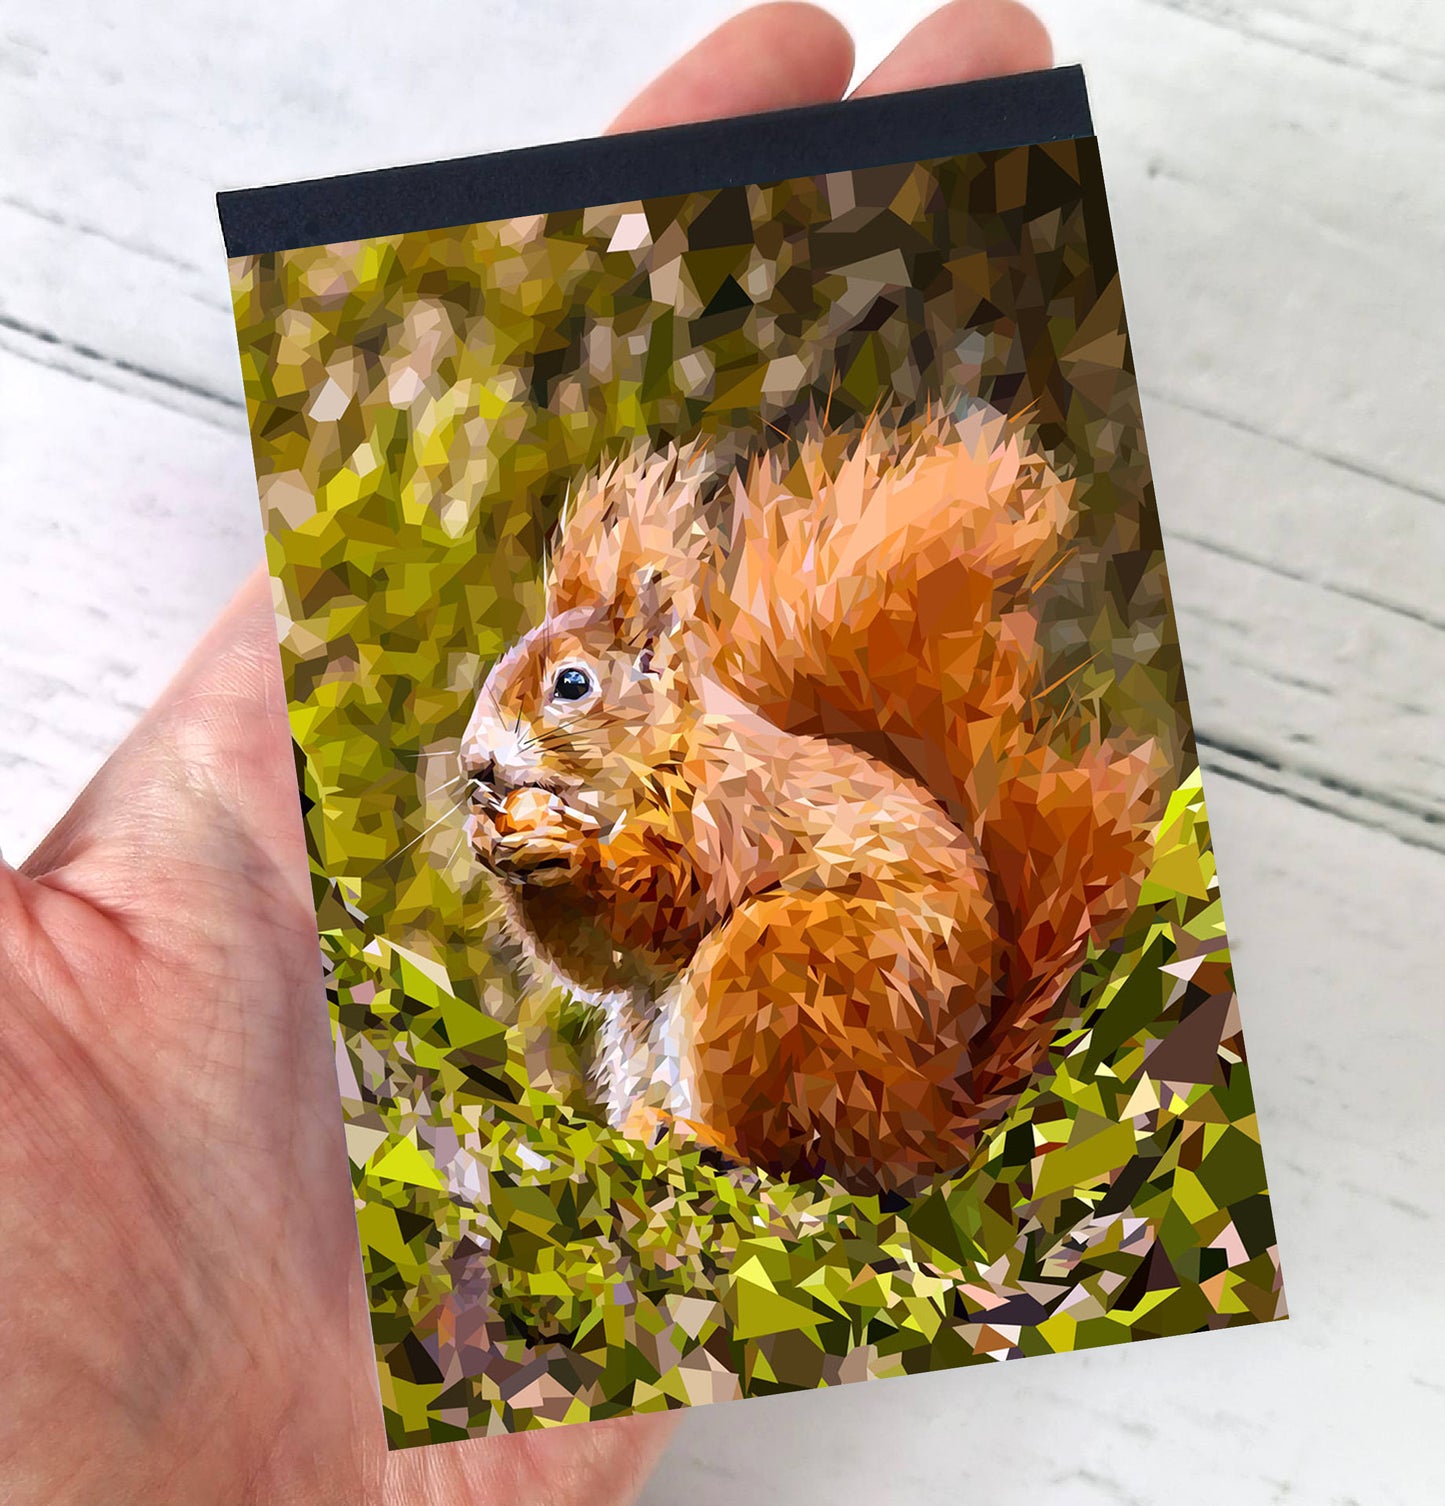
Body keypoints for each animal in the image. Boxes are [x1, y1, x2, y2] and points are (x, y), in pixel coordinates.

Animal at [461, 407, 1157, 1195]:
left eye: (572, 685)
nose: (476, 764)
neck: (652, 760)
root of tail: (926, 1130)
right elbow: (596, 962)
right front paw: (488, 841)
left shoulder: (728, 815)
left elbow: (664, 900)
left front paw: (571, 853)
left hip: (775, 978)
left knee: (789, 1152)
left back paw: (702, 1137)